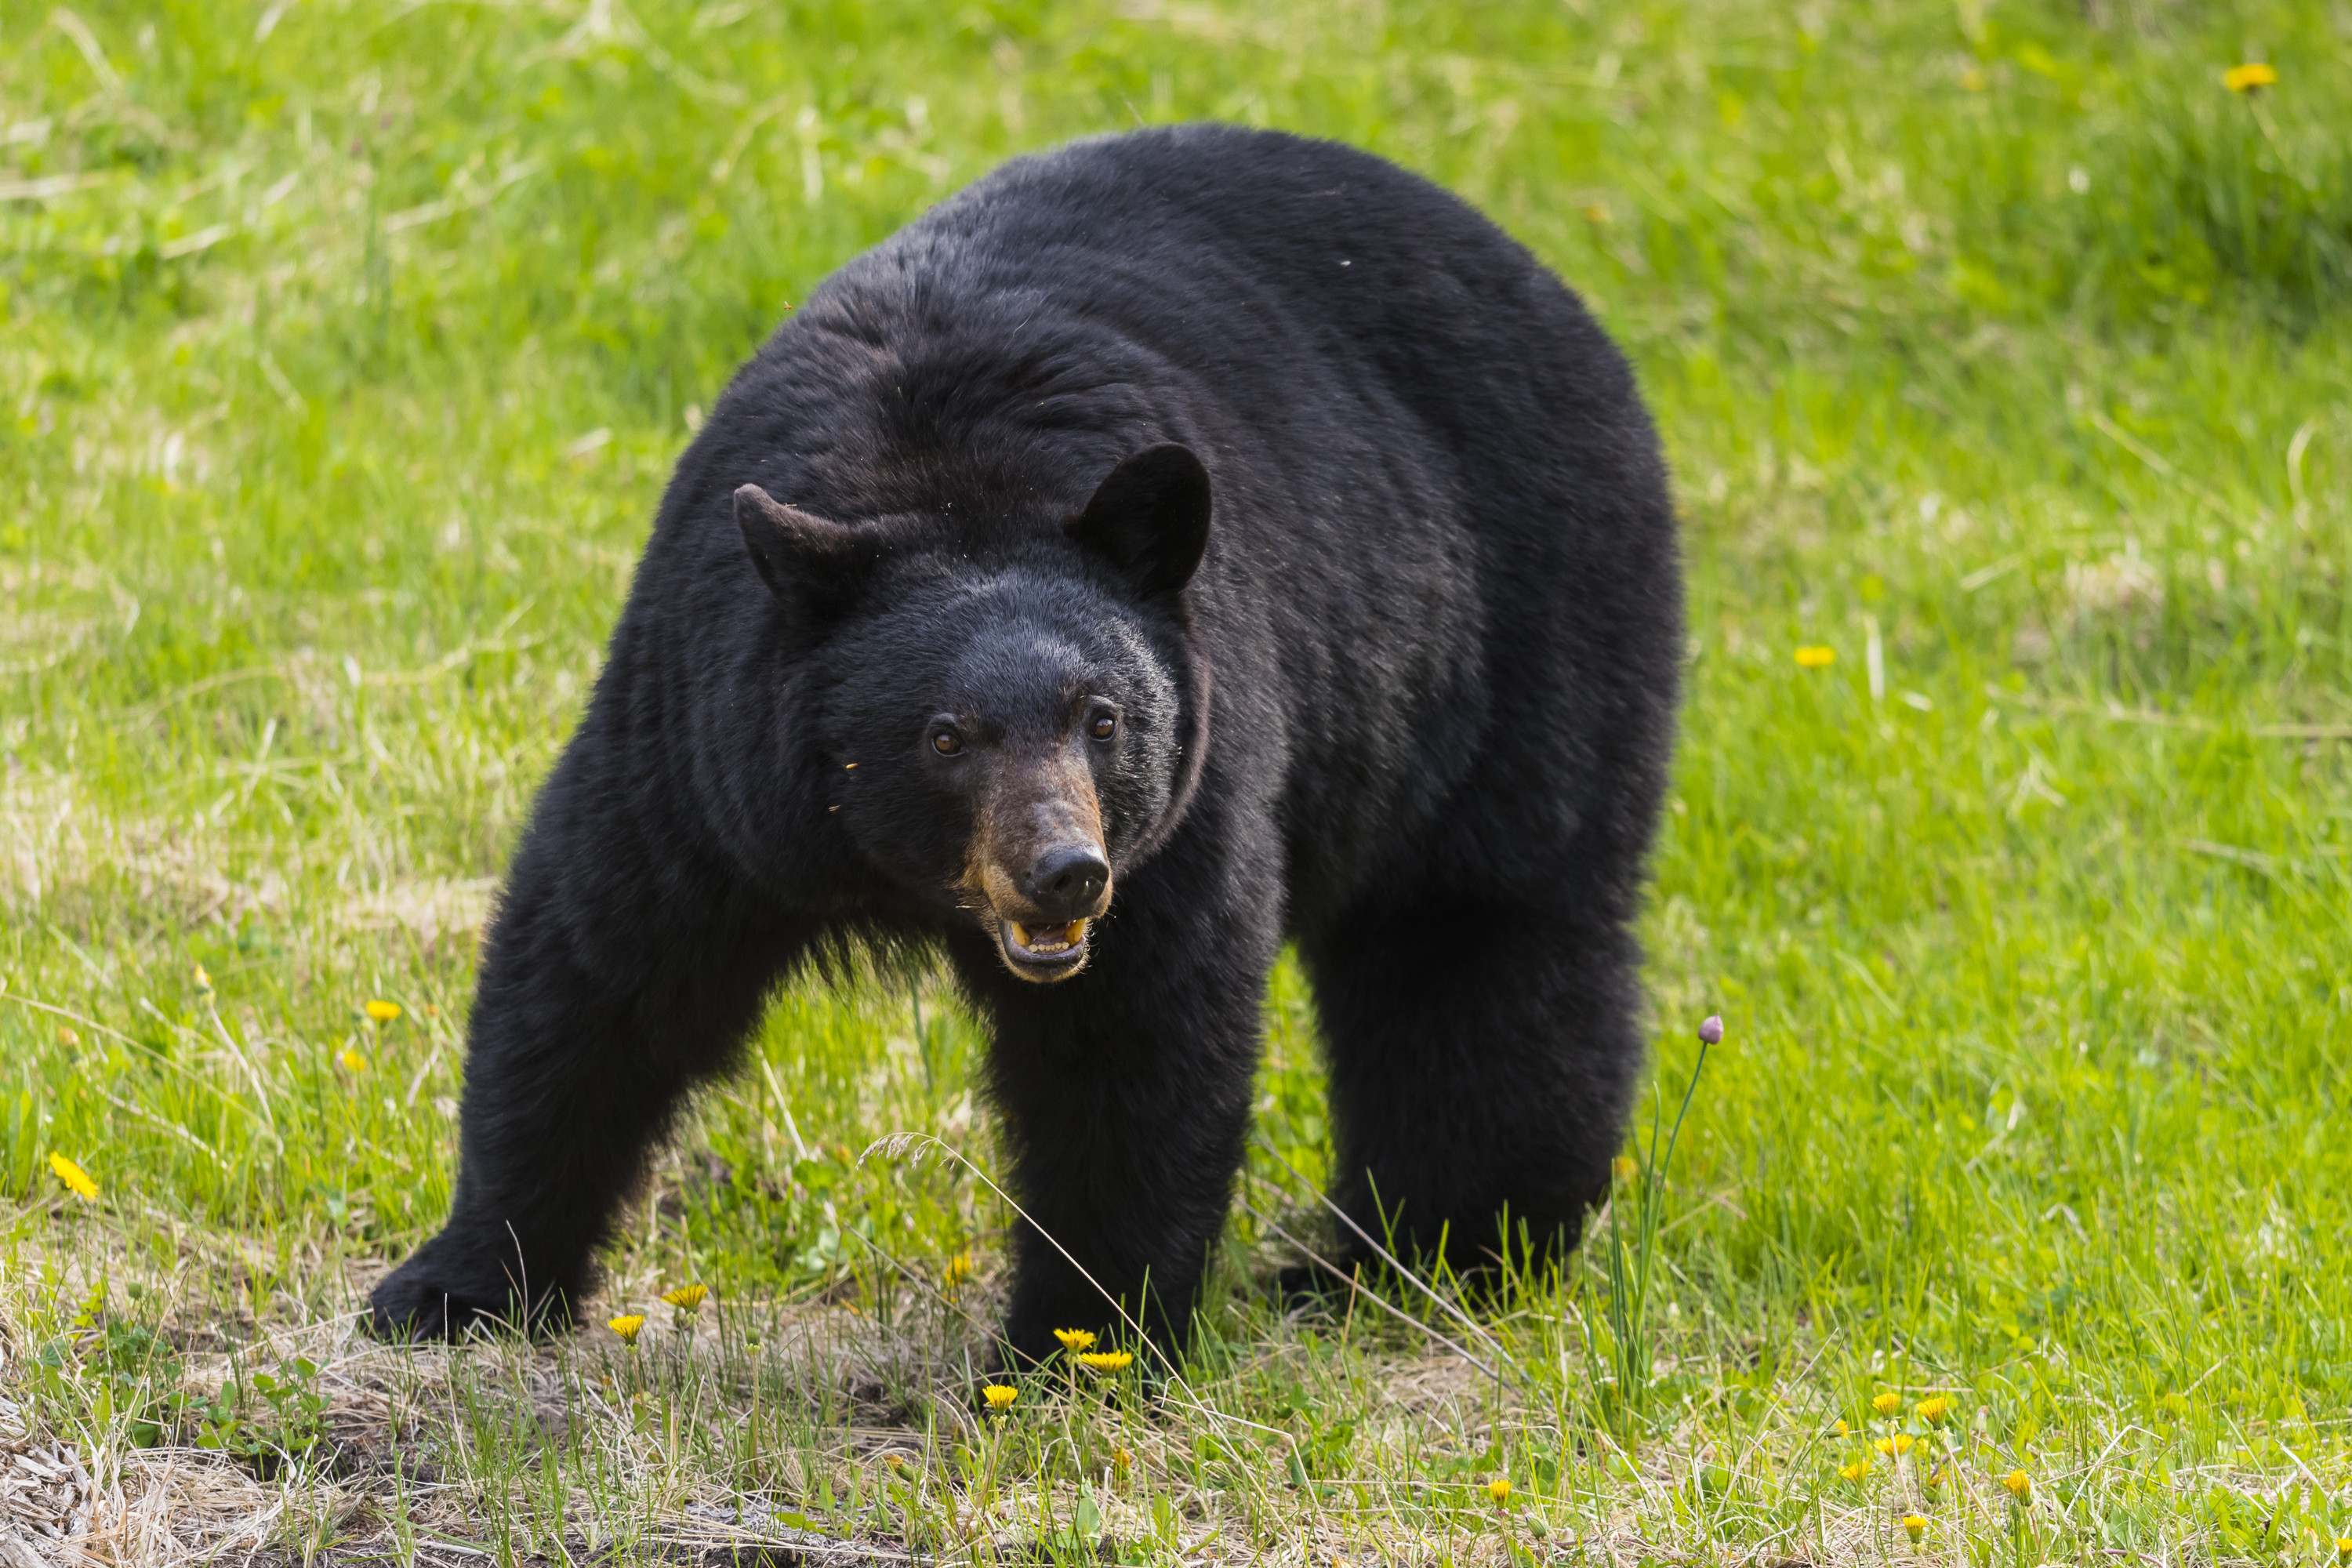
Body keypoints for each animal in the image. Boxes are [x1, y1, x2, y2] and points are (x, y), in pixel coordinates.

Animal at [367, 122, 1684, 1363]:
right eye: (945, 735)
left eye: (1103, 720)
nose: (1065, 873)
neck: (942, 478)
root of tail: (1544, 281)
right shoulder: (702, 740)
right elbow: (601, 972)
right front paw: (453, 1285)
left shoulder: (1191, 799)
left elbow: (1136, 1048)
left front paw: (1077, 1342)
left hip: (1520, 642)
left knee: (1482, 944)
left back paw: (1436, 1255)